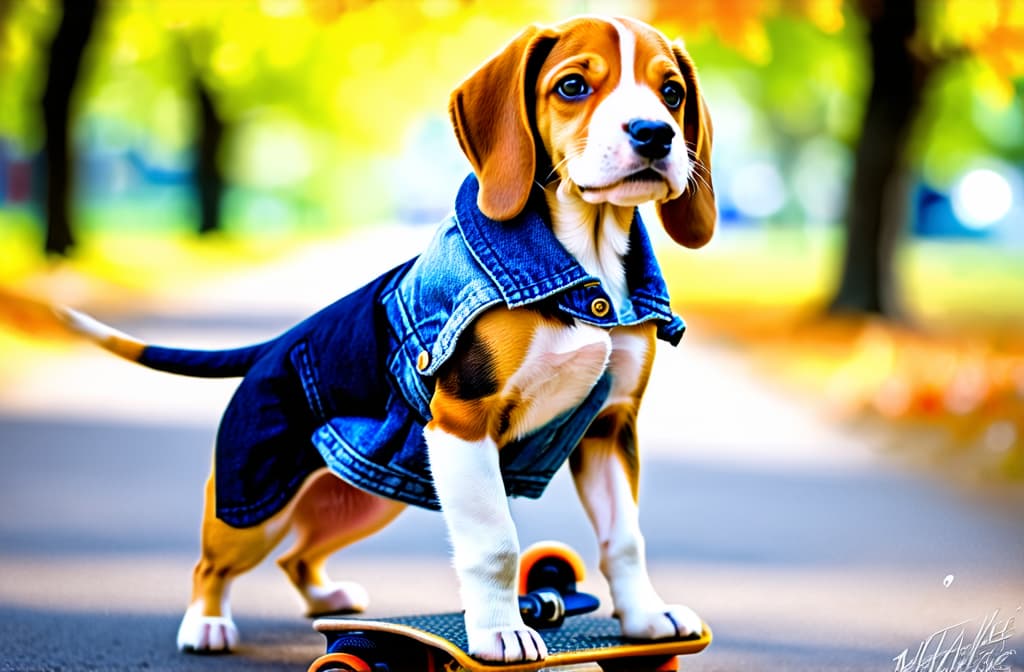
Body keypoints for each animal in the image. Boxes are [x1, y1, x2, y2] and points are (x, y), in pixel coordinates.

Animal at [49, 14, 712, 659]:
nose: (655, 133)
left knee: (299, 556)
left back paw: (327, 599)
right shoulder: (462, 423)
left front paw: (646, 620)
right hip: (253, 500)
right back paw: (207, 624)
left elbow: (624, 539)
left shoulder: (610, 425)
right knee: (212, 564)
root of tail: (274, 346)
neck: (583, 257)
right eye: (573, 86)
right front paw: (500, 633)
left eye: (672, 93)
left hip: (364, 498)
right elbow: (495, 541)